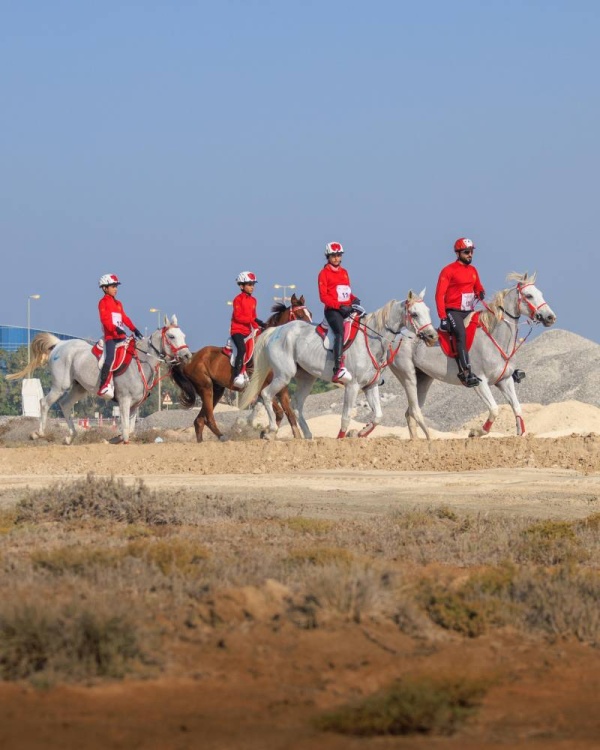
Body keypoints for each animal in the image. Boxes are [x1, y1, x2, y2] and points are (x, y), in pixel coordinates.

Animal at [9, 318, 192, 446]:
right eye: (171, 336)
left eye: (183, 335)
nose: (187, 356)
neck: (140, 361)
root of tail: (60, 343)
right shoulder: (124, 401)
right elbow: (126, 430)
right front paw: (117, 439)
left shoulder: (135, 405)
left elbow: (130, 429)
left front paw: (112, 439)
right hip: (60, 386)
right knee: (44, 403)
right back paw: (38, 433)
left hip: (79, 388)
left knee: (65, 404)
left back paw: (70, 436)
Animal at [169, 296, 310, 444]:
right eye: (300, 315)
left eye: (310, 314)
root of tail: (192, 356)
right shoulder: (261, 388)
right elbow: (279, 411)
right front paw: (267, 433)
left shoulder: (282, 389)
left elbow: (288, 412)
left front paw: (290, 435)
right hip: (206, 387)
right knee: (208, 418)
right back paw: (223, 437)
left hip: (217, 390)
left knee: (199, 420)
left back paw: (201, 442)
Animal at [237, 290, 438, 438]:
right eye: (414, 314)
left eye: (428, 310)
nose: (432, 336)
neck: (371, 341)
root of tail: (275, 330)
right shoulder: (352, 386)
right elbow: (346, 417)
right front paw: (342, 439)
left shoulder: (370, 385)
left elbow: (378, 417)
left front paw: (362, 432)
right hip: (283, 375)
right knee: (266, 394)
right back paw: (271, 430)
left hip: (306, 378)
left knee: (296, 405)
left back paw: (308, 436)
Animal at [392, 274, 556, 440]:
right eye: (529, 295)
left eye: (540, 293)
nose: (550, 317)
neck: (494, 338)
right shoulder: (480, 382)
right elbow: (494, 409)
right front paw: (475, 432)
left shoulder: (505, 380)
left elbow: (516, 407)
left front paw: (519, 433)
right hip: (408, 377)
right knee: (414, 411)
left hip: (423, 379)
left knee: (409, 413)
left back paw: (415, 441)